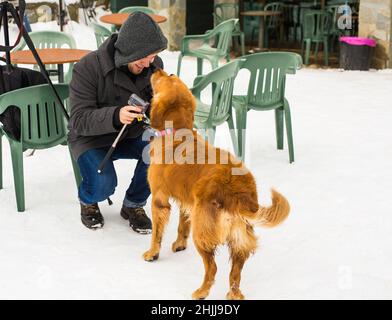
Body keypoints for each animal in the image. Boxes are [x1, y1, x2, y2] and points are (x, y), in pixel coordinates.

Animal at [144, 68, 290, 300]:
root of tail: (238, 192)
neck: (178, 132)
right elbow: (182, 225)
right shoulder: (187, 202)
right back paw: (233, 294)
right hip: (239, 238)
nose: (157, 69)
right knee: (235, 272)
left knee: (212, 268)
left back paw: (201, 291)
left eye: (165, 78)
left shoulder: (159, 199)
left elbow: (157, 233)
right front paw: (179, 244)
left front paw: (152, 253)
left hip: (203, 231)